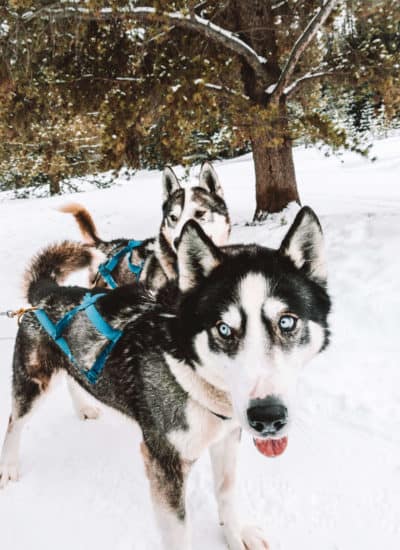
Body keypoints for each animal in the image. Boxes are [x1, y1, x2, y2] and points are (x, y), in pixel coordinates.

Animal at [0, 208, 332, 550]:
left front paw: (235, 533)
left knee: (71, 377)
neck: (190, 374)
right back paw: (9, 466)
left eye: (287, 322)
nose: (267, 417)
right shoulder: (164, 463)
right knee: (15, 421)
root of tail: (47, 293)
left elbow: (226, 492)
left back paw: (84, 405)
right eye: (224, 329)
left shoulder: (226, 438)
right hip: (33, 382)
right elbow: (178, 533)